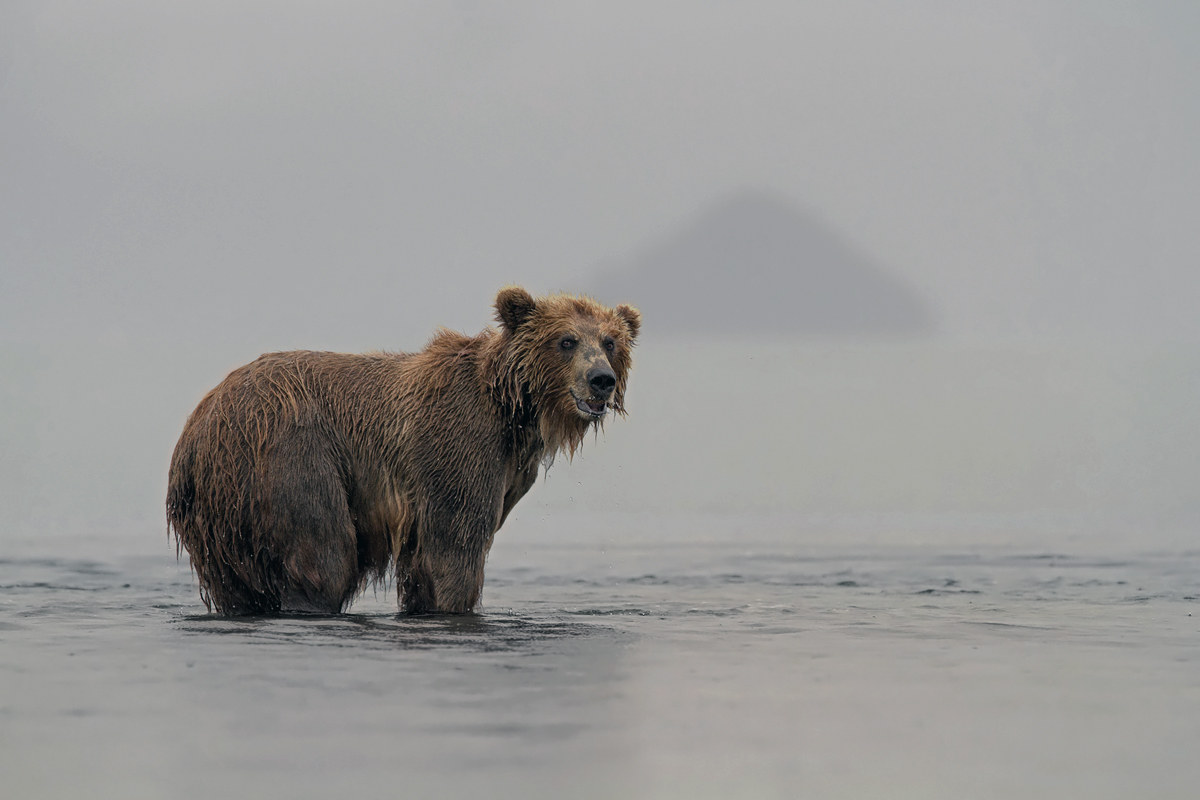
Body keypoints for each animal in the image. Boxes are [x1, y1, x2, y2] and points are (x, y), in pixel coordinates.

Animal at [166, 287, 648, 614]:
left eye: (610, 342)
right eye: (566, 340)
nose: (601, 380)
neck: (514, 410)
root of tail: (195, 431)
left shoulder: (507, 470)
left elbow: (422, 568)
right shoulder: (459, 444)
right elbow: (455, 548)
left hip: (221, 522)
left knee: (237, 587)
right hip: (287, 453)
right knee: (323, 554)